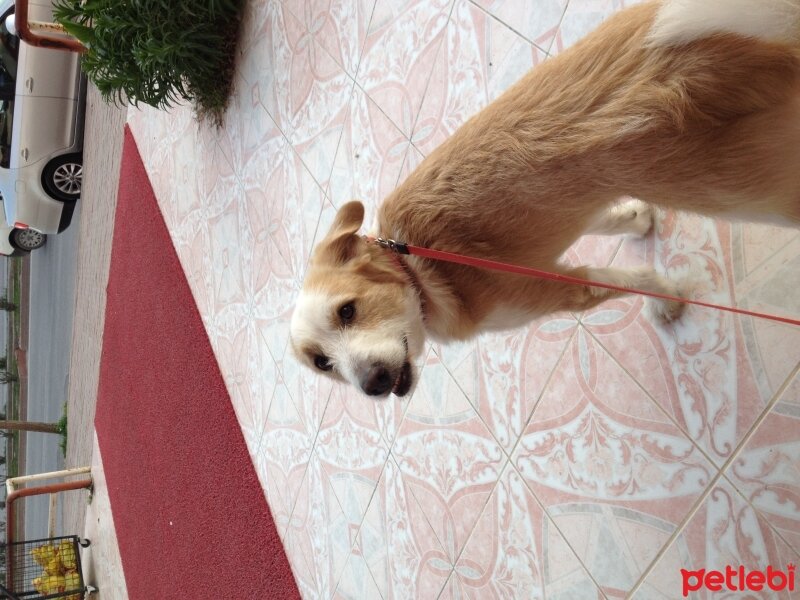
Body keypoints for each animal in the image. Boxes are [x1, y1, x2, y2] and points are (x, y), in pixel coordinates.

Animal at [290, 0, 800, 398]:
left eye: (348, 311)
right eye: (322, 364)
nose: (372, 385)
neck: (416, 270)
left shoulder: (560, 290)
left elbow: (633, 279)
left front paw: (666, 299)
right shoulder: (570, 212)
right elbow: (607, 221)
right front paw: (636, 221)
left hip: (742, 194)